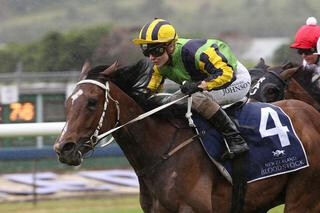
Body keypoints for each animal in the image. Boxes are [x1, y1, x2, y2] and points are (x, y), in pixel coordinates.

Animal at [53, 62, 320, 213]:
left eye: (91, 102)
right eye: (67, 103)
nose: (63, 147)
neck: (163, 149)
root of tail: (312, 115)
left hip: (302, 198)